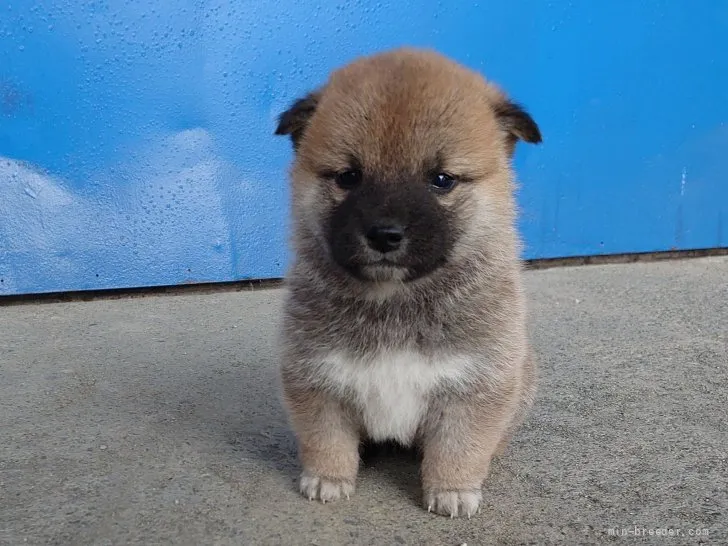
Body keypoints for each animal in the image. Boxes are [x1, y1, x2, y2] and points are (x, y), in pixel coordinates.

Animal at [276, 45, 544, 516]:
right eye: (348, 176)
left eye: (441, 179)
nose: (384, 235)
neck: (394, 300)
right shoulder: (316, 376)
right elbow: (326, 439)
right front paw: (328, 479)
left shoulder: (476, 383)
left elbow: (460, 447)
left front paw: (453, 490)